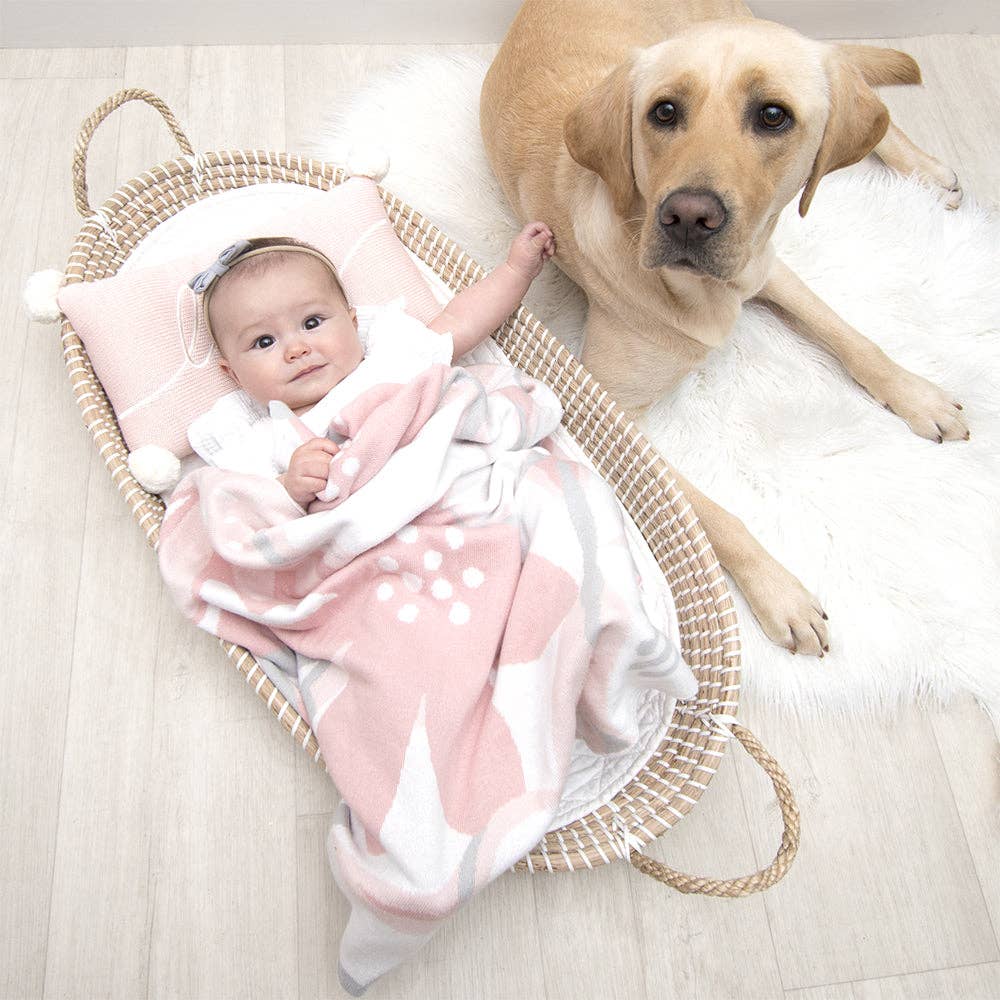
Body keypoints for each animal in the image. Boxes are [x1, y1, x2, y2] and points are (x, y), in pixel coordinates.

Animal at [484, 0, 968, 660]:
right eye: (664, 111)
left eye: (773, 116)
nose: (688, 215)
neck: (701, 294)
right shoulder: (605, 406)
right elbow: (716, 517)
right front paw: (781, 593)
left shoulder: (765, 269)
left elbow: (847, 334)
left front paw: (917, 394)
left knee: (871, 107)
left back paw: (926, 170)